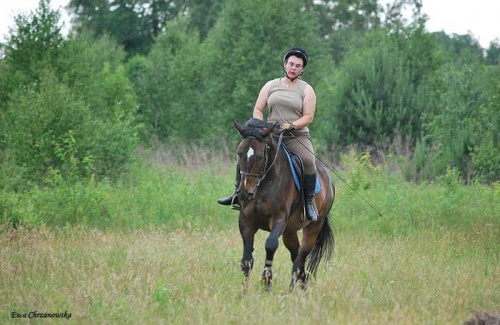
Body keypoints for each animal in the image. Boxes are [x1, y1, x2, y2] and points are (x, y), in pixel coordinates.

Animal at [231, 117, 334, 290]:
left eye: (260, 157)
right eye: (239, 154)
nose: (244, 193)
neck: (263, 183)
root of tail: (329, 178)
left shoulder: (278, 219)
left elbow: (270, 245)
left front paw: (266, 283)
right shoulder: (246, 220)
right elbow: (246, 260)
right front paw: (243, 292)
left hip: (313, 228)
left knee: (300, 258)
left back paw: (292, 291)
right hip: (290, 231)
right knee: (296, 255)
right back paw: (302, 289)